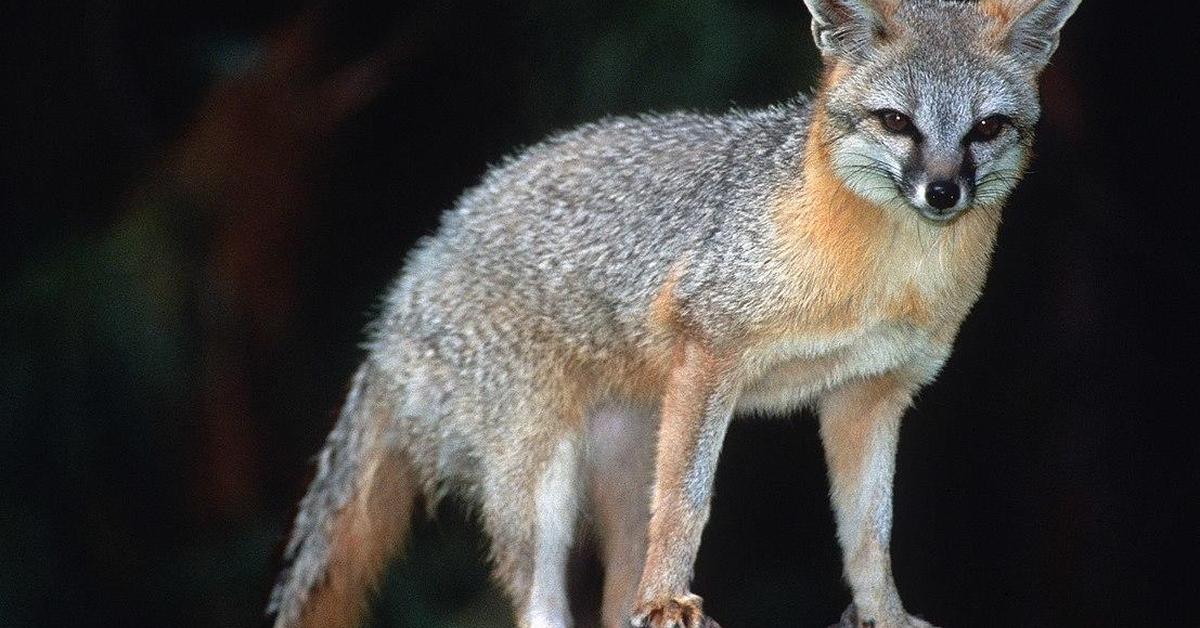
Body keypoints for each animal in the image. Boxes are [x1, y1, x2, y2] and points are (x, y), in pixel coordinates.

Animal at [267, 1, 1084, 628]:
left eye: (985, 129)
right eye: (897, 122)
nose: (943, 193)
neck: (886, 277)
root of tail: (396, 306)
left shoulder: (869, 394)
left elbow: (869, 536)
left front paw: (883, 613)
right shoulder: (708, 351)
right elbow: (689, 505)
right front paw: (668, 599)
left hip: (627, 468)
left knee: (610, 596)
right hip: (540, 478)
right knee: (540, 601)